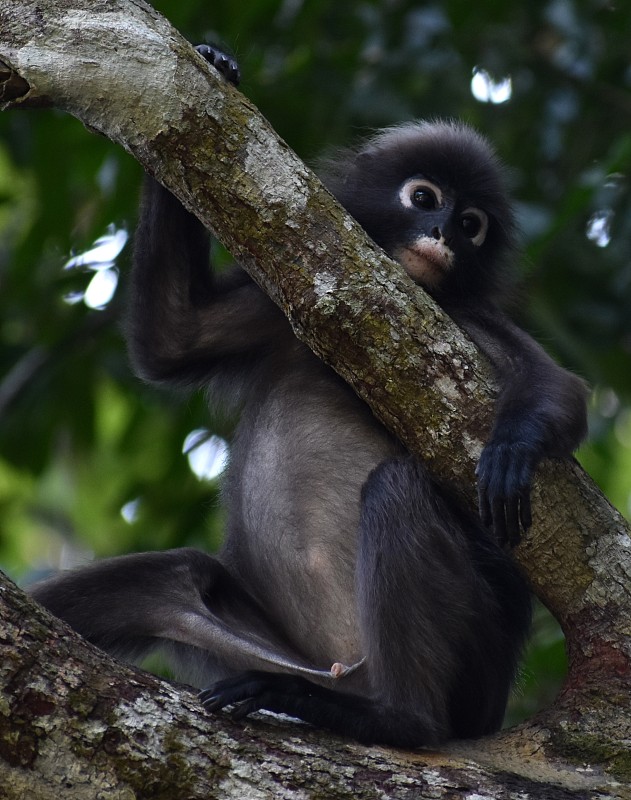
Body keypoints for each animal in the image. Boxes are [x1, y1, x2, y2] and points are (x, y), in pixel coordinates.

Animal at [32, 45, 592, 752]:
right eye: (425, 197)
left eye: (472, 225)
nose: (443, 233)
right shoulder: (282, 311)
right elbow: (173, 335)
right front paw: (214, 68)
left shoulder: (471, 317)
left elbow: (560, 391)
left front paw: (512, 451)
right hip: (264, 647)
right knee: (168, 579)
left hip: (474, 668)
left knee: (396, 492)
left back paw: (395, 717)